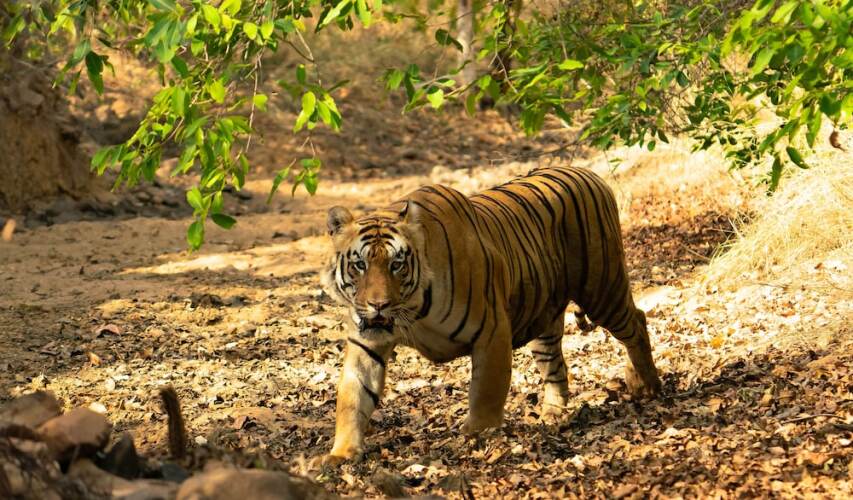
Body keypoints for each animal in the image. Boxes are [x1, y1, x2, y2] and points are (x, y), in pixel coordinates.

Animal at [320, 165, 662, 463]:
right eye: (360, 264)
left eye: (396, 265)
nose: (377, 304)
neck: (411, 312)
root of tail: (587, 172)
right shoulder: (367, 342)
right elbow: (353, 397)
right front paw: (341, 454)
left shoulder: (492, 330)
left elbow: (486, 389)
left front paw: (477, 436)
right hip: (544, 321)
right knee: (556, 366)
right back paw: (552, 415)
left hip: (603, 289)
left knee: (637, 321)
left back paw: (648, 385)